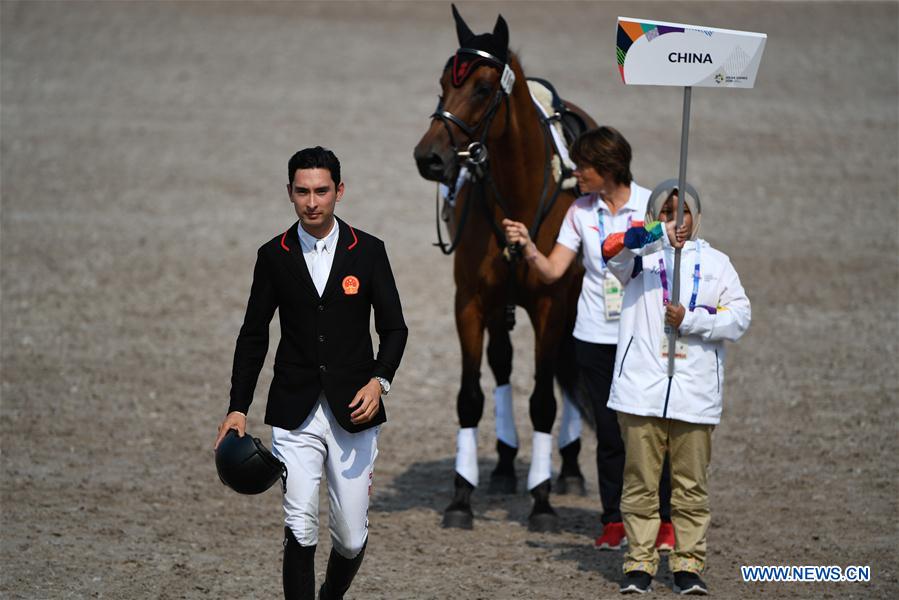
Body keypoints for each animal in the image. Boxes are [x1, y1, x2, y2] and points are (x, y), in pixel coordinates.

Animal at [414, 4, 596, 528]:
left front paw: (543, 500)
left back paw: (568, 469)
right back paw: (503, 466)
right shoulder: (471, 303)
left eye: (481, 88)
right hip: (500, 305)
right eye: (442, 83)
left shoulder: (552, 304)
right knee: (501, 365)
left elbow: (543, 400)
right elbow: (470, 397)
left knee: (565, 369)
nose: (429, 157)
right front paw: (461, 495)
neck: (519, 191)